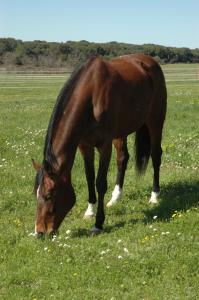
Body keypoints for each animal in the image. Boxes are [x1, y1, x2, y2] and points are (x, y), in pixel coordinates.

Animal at [32, 54, 166, 237]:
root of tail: (150, 61)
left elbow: (100, 182)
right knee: (122, 158)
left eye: (48, 195)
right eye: (36, 194)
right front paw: (90, 211)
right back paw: (115, 197)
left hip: (155, 122)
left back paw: (154, 195)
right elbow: (89, 177)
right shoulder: (84, 145)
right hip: (121, 132)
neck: (91, 96)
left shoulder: (104, 146)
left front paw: (98, 224)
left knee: (156, 156)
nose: (40, 232)